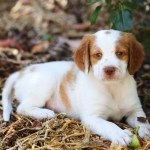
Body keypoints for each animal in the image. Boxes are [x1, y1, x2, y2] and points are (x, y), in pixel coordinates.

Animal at [1, 29, 149, 145]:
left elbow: (143, 121)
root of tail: (21, 71)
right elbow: (108, 125)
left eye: (120, 53)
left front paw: (146, 131)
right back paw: (44, 112)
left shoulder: (135, 110)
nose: (109, 69)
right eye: (98, 55)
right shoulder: (92, 117)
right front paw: (120, 134)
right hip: (45, 84)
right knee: (22, 107)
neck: (112, 88)